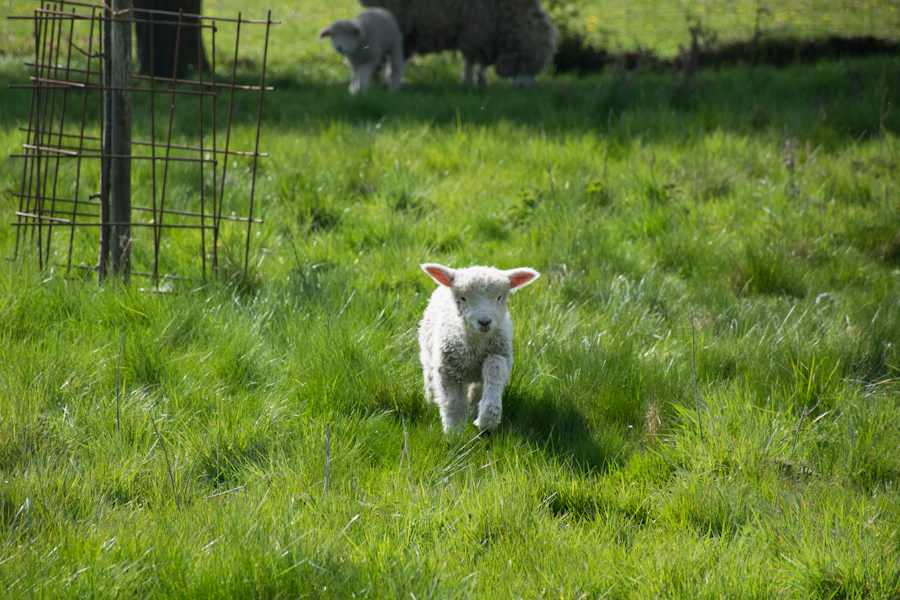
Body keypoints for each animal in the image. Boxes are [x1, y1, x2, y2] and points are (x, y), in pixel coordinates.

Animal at [358, 0, 557, 88]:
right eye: (526, 62)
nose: (523, 88)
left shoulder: (481, 29)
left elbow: (477, 61)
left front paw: (481, 81)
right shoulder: (476, 27)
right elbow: (472, 59)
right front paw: (470, 82)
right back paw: (378, 79)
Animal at [418, 263, 540, 433]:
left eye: (499, 297)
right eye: (462, 298)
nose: (484, 321)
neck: (475, 347)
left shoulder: (498, 355)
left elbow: (494, 377)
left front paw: (486, 421)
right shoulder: (447, 370)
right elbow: (454, 403)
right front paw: (454, 431)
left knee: (476, 390)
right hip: (428, 355)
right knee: (429, 377)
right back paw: (430, 401)